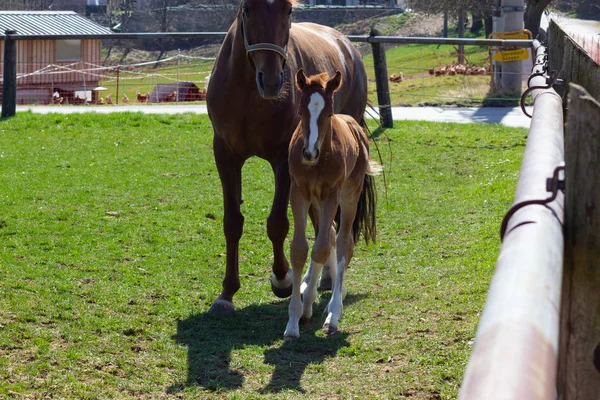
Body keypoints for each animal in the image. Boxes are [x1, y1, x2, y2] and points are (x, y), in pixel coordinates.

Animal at [284, 69, 380, 340]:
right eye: (301, 112)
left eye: (328, 113)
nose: (309, 153)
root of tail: (355, 125)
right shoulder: (299, 192)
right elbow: (300, 250)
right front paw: (294, 320)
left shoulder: (331, 194)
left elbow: (321, 250)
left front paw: (308, 304)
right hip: (316, 201)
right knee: (331, 235)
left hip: (349, 194)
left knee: (344, 242)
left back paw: (333, 312)